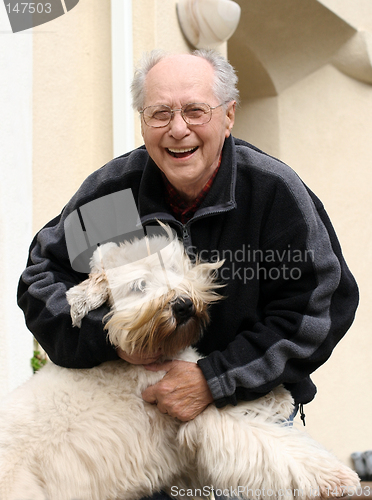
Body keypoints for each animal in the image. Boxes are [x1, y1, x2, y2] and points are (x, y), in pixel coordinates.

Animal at [0, 226, 360, 500]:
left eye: (172, 267)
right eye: (139, 285)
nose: (183, 305)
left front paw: (280, 397)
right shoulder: (199, 413)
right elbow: (271, 445)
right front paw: (337, 478)